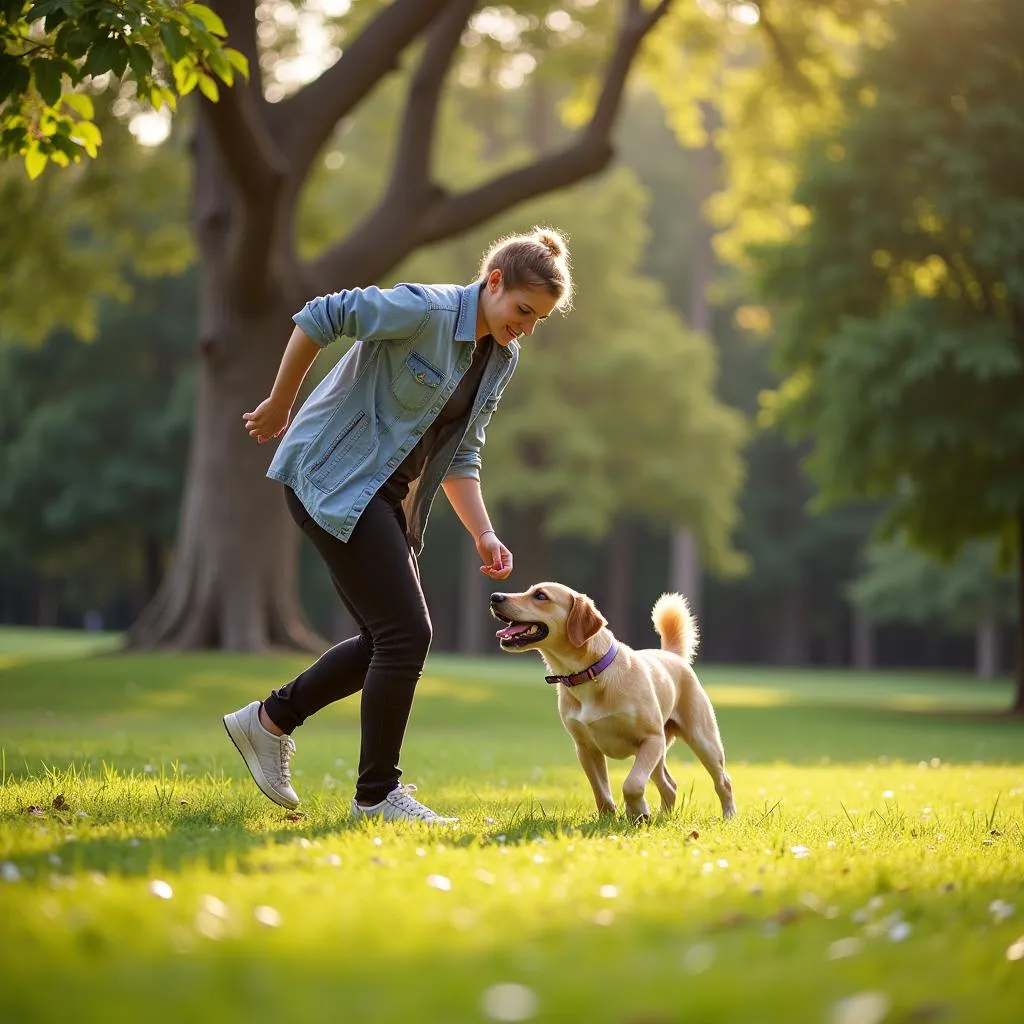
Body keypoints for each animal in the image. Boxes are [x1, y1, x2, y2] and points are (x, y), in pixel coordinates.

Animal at [489, 585, 737, 823]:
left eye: (540, 595)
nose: (494, 596)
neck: (590, 673)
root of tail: (671, 655)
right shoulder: (586, 749)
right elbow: (601, 792)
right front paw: (610, 819)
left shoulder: (651, 739)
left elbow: (632, 784)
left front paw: (638, 812)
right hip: (658, 755)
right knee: (670, 785)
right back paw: (663, 817)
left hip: (702, 740)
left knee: (723, 781)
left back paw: (728, 816)